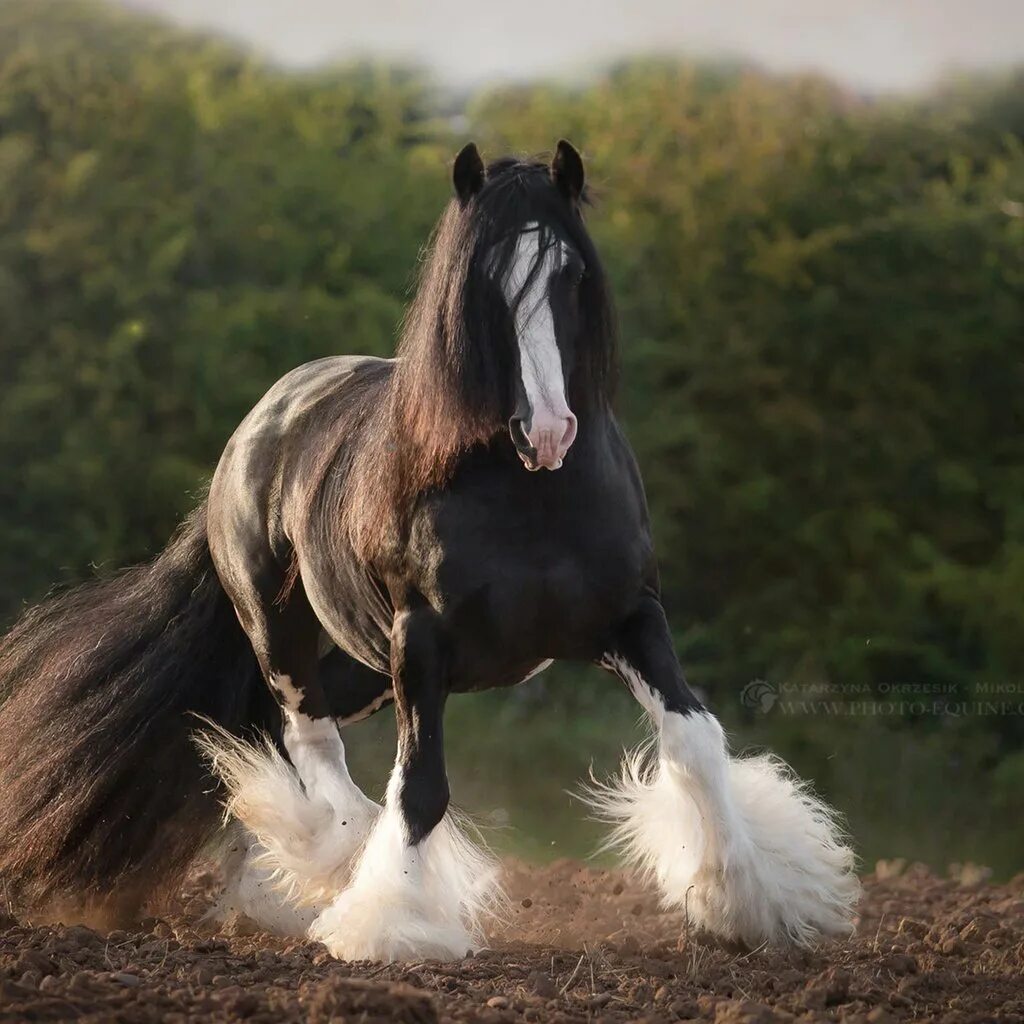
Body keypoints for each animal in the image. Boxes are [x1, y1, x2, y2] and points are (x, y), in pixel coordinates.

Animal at [0, 142, 860, 958]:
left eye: (571, 272)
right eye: (484, 283)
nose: (549, 430)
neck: (532, 499)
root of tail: (257, 428)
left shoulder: (630, 619)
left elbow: (696, 741)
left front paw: (753, 904)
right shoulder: (422, 640)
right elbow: (418, 790)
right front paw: (390, 928)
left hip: (359, 664)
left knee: (276, 737)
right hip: (286, 636)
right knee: (309, 738)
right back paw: (334, 867)